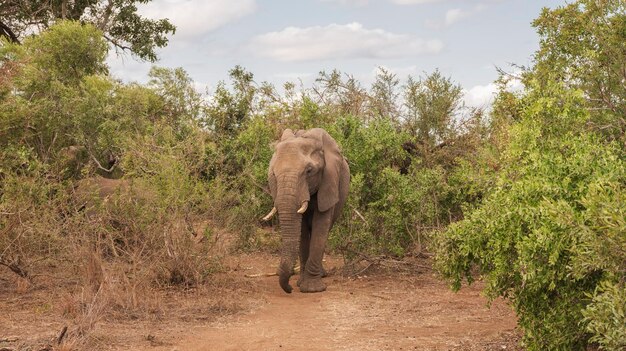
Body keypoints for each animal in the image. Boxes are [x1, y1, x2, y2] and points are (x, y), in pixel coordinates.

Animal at [260, 129, 348, 294]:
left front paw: (312, 289)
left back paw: (321, 274)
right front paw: (301, 283)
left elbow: (321, 226)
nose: (289, 289)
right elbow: (301, 231)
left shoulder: (329, 182)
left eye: (309, 171)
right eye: (273, 174)